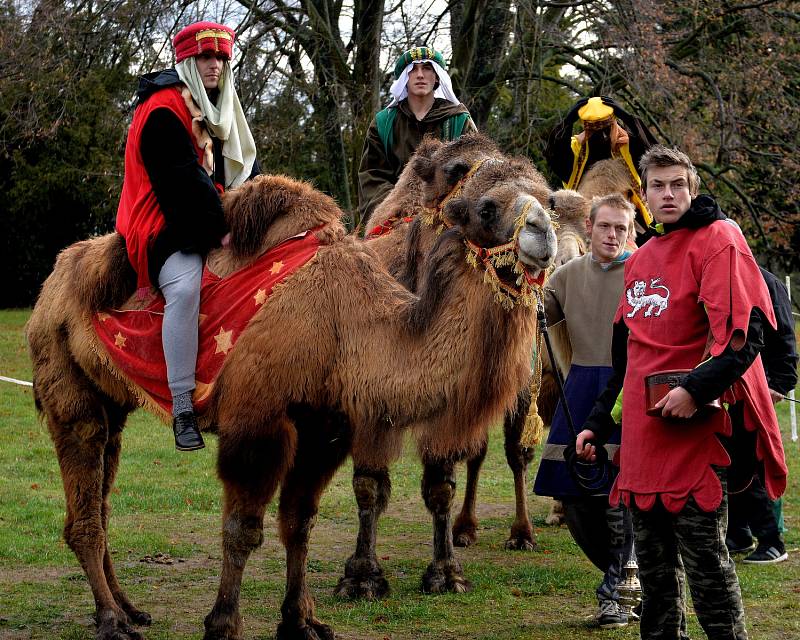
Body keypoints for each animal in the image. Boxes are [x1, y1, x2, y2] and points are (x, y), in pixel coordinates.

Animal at [29, 164, 556, 640]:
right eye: (486, 208)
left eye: (548, 196)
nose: (544, 232)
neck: (347, 325)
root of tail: (51, 282)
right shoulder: (257, 424)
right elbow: (242, 528)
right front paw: (223, 623)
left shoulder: (324, 430)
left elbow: (299, 524)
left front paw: (301, 620)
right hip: (68, 394)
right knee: (86, 511)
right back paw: (112, 621)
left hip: (112, 406)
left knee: (100, 501)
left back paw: (127, 609)